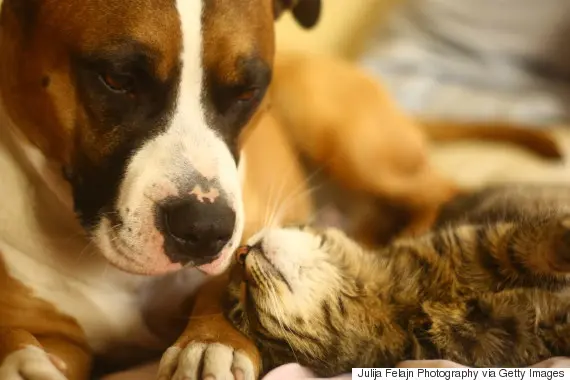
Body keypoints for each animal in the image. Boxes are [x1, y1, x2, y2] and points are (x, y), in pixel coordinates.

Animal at [0, 0, 320, 380]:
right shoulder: (58, 339)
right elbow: (19, 339)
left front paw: (212, 341)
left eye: (247, 93)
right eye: (119, 80)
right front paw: (23, 363)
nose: (205, 229)